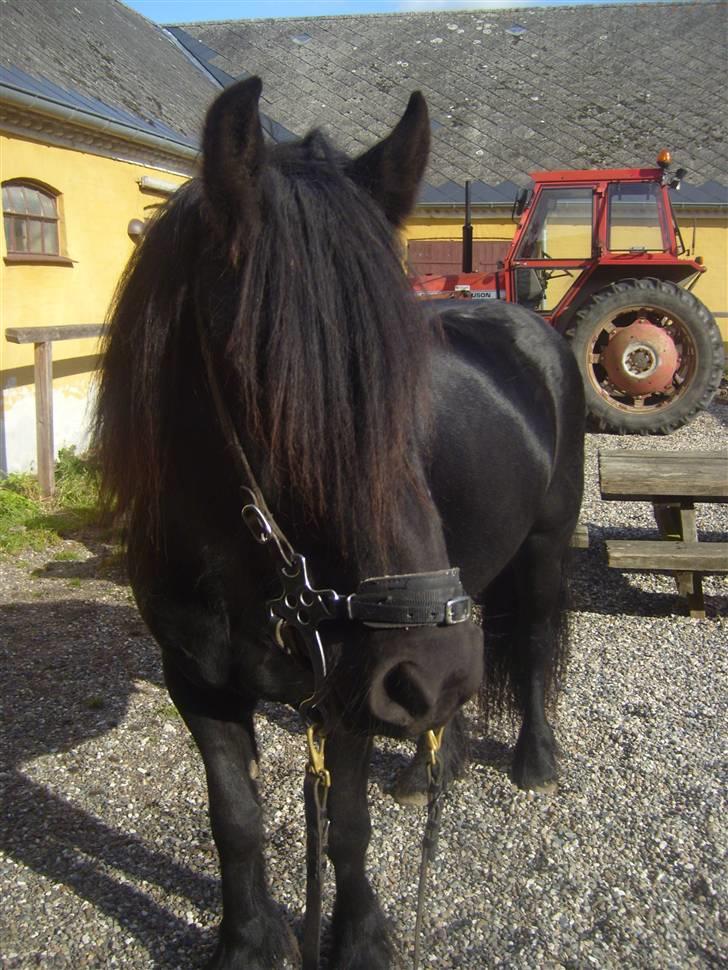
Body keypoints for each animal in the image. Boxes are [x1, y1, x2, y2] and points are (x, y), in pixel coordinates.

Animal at [93, 77, 584, 970]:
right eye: (262, 382)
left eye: (407, 381)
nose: (425, 667)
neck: (246, 572)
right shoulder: (196, 679)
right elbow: (236, 821)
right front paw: (247, 941)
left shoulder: (350, 689)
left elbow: (347, 830)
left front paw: (358, 937)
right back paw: (433, 765)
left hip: (539, 549)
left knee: (529, 642)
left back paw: (533, 758)